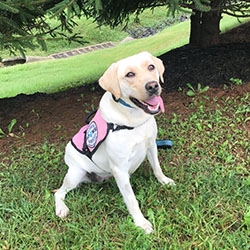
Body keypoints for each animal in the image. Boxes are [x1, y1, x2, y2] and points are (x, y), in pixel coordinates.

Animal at [55, 51, 175, 233]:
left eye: (151, 67)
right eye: (129, 74)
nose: (153, 86)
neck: (133, 120)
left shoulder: (151, 146)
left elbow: (157, 168)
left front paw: (164, 181)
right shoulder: (119, 168)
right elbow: (131, 200)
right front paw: (141, 223)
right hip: (75, 174)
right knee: (58, 192)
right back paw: (61, 208)